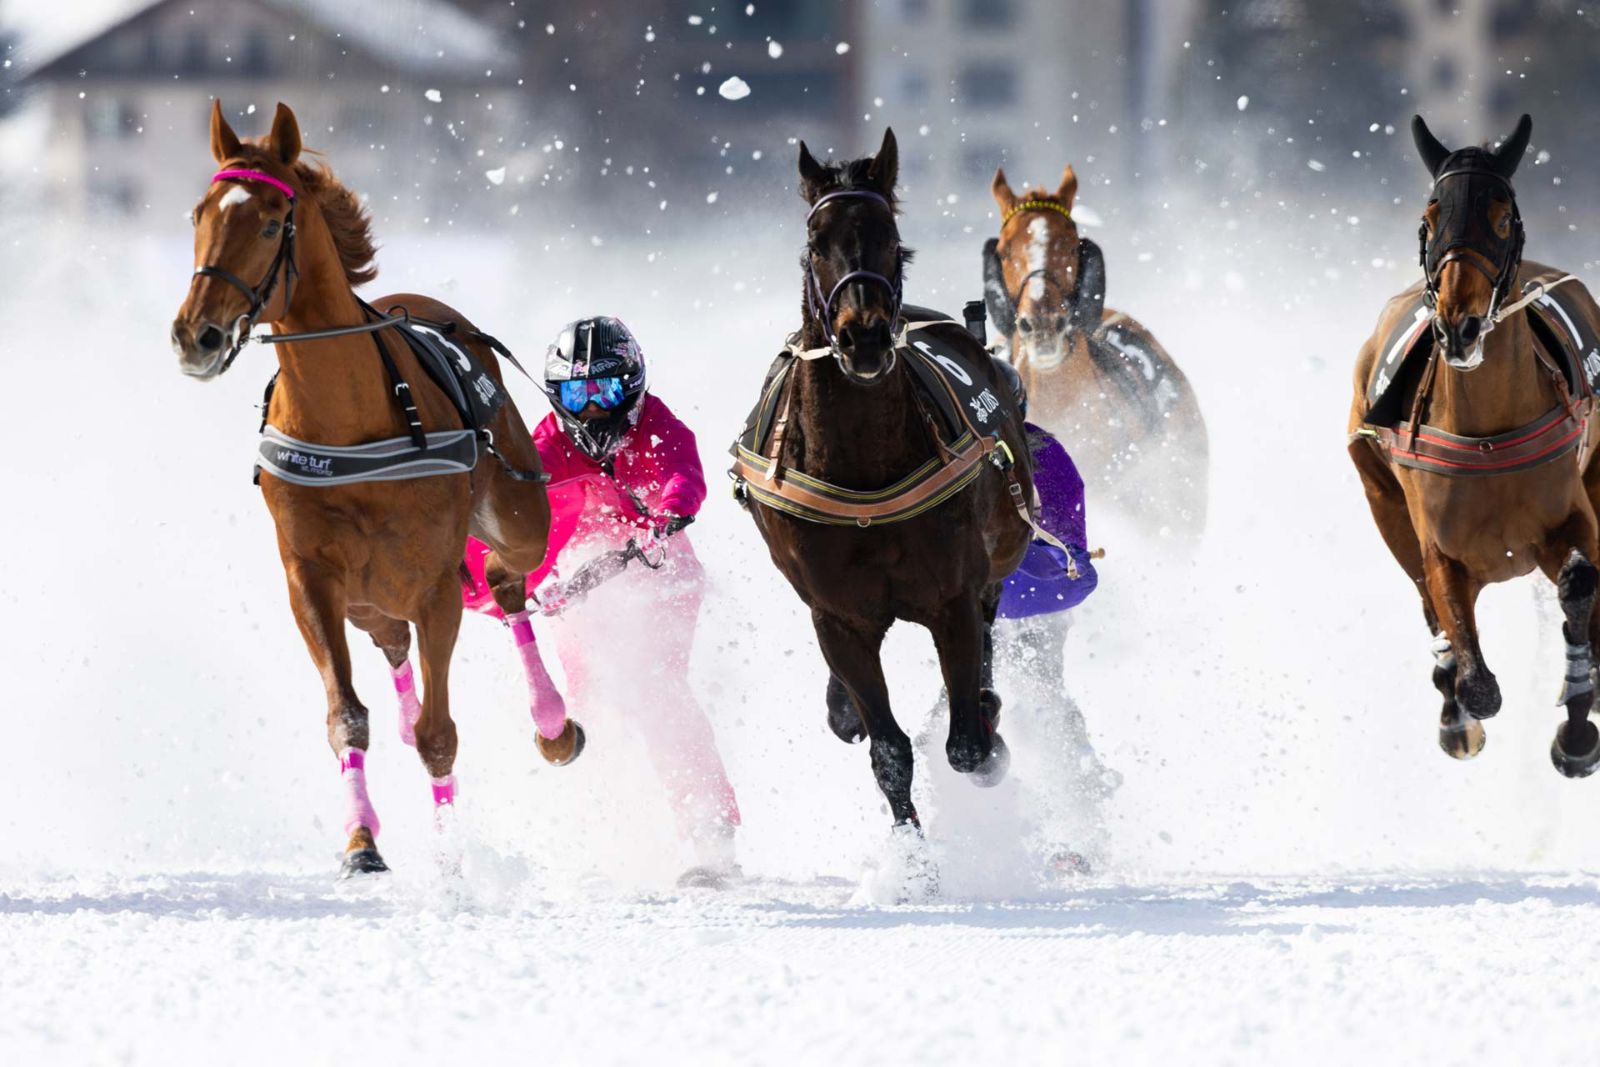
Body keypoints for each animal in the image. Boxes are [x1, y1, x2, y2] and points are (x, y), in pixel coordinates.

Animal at [170, 102, 583, 877]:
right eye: (199, 214)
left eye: (270, 221)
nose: (195, 335)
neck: (352, 420)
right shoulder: (310, 576)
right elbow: (346, 715)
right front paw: (361, 840)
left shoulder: (435, 584)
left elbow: (439, 732)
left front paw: (450, 853)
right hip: (367, 595)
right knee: (391, 642)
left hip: (515, 509)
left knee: (508, 578)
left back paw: (551, 722)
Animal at [732, 128, 1033, 882]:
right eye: (816, 240)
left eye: (891, 239)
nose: (863, 334)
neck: (864, 471)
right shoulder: (838, 613)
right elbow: (888, 747)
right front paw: (913, 867)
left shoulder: (952, 594)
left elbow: (967, 743)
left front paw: (983, 727)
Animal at [1349, 113, 1600, 774]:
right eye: (1430, 217)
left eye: (1502, 215)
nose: (1457, 327)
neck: (1488, 435)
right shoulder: (1439, 543)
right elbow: (1476, 679)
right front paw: (1461, 706)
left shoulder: (1570, 507)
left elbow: (1581, 581)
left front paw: (1578, 719)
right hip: (1379, 493)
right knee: (1424, 599)